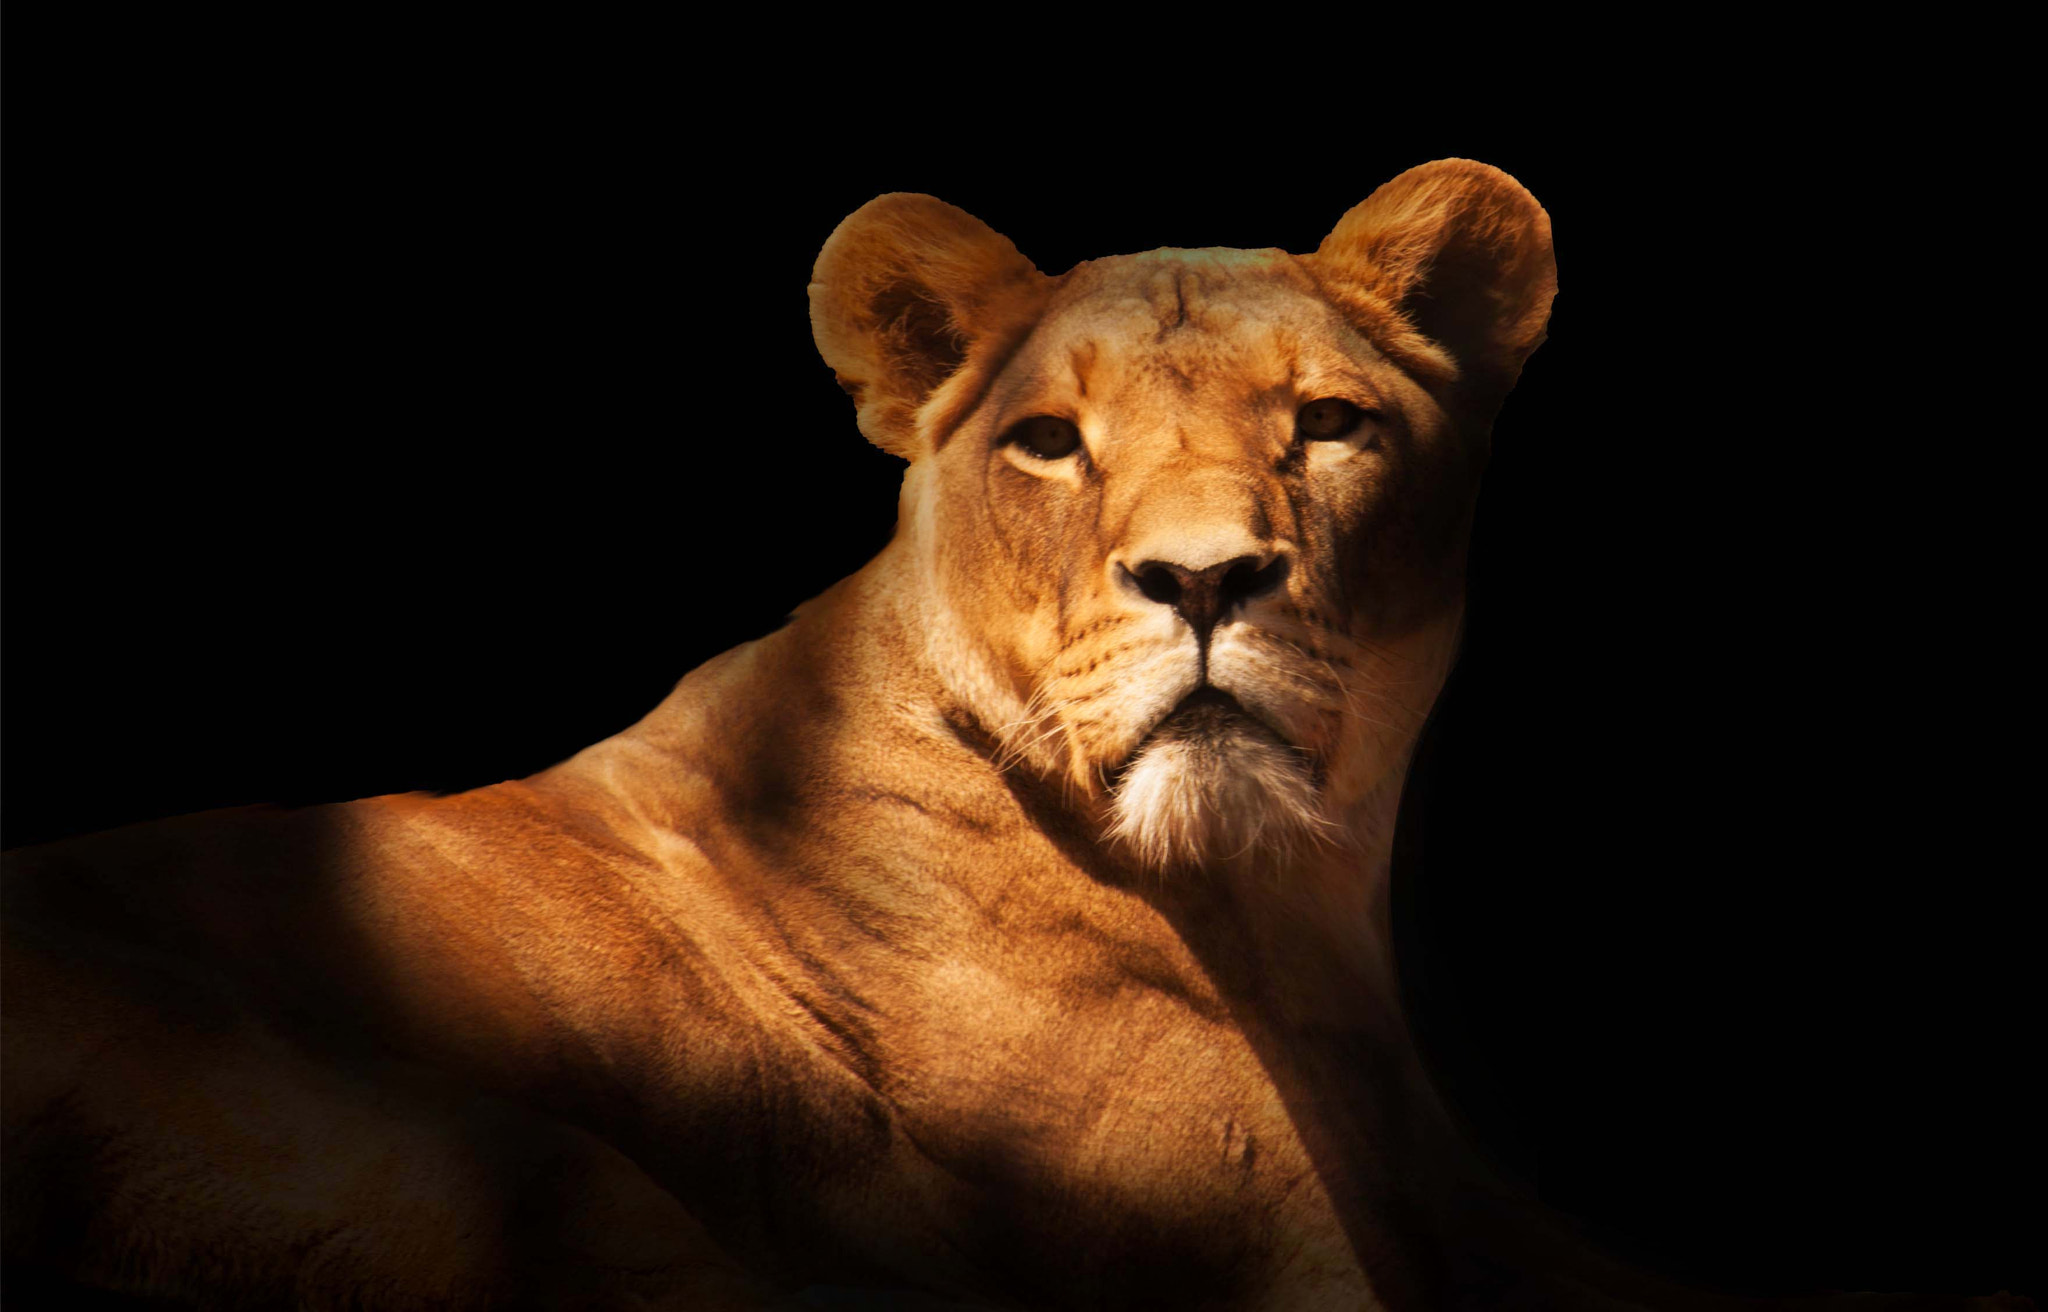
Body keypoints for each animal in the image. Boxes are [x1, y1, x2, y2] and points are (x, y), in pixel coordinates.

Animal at [1, 160, 2024, 1310]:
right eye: (1050, 440)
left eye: (1329, 424)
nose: (1204, 577)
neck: (1287, 915)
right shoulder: (1267, 1272)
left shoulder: (1476, 1210)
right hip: (511, 1181)